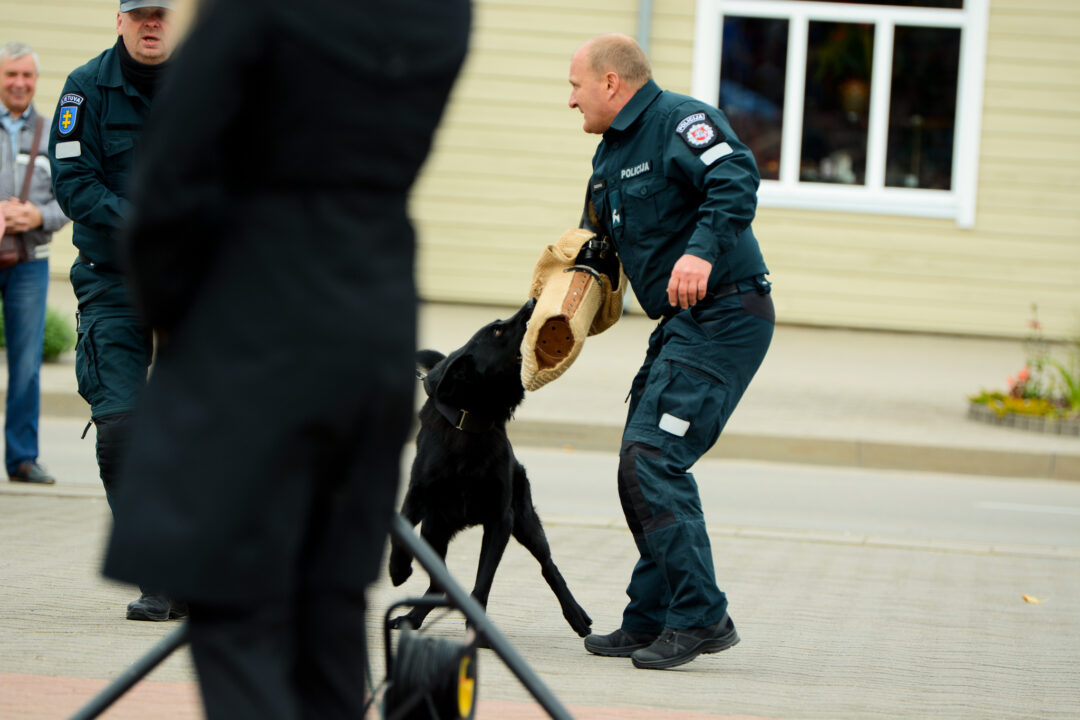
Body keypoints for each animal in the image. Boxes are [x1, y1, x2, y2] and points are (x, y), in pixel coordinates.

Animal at [388, 298, 593, 639]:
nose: (532, 302)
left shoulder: (501, 519)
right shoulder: (417, 497)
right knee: (437, 584)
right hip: (434, 529)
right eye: (497, 330)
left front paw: (479, 629)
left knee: (548, 565)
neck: (471, 422)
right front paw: (398, 570)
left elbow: (483, 581)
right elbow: (401, 533)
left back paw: (576, 614)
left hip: (526, 521)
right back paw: (413, 617)